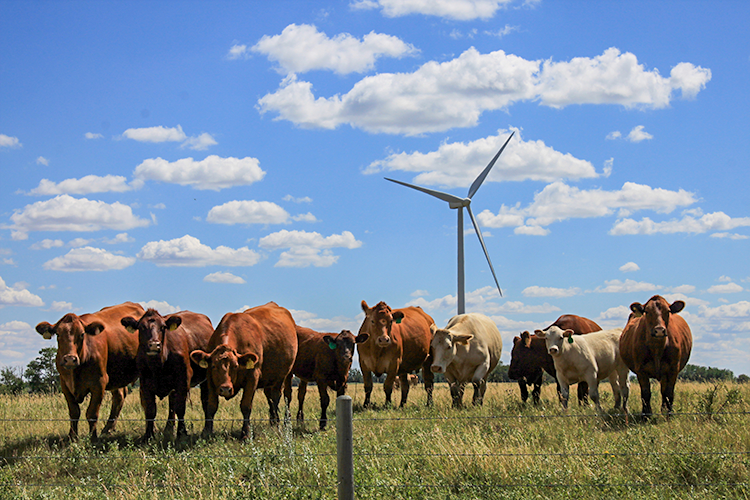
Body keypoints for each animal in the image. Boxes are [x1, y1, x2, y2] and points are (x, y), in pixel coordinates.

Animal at [36, 300, 145, 438]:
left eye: (82, 334)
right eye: (58, 335)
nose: (70, 359)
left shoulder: (99, 383)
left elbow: (92, 413)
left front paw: (93, 438)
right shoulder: (65, 384)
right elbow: (74, 412)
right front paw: (72, 437)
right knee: (119, 396)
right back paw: (108, 428)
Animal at [120, 308, 213, 442]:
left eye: (163, 327)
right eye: (141, 327)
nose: (154, 344)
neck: (158, 364)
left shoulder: (183, 379)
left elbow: (180, 408)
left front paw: (181, 433)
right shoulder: (144, 383)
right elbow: (150, 410)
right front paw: (148, 436)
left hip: (205, 379)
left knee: (205, 401)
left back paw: (206, 429)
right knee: (171, 403)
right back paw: (168, 429)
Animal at [189, 300, 298, 438]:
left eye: (235, 366)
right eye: (213, 366)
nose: (225, 389)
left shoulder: (253, 376)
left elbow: (246, 405)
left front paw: (246, 433)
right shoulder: (210, 378)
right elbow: (212, 406)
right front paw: (207, 431)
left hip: (285, 375)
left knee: (279, 396)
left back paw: (281, 423)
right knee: (271, 397)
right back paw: (273, 422)